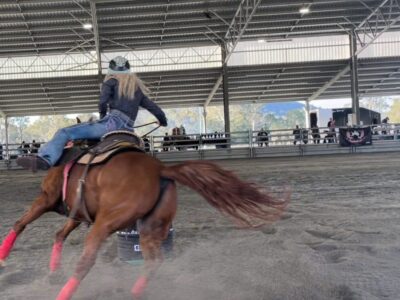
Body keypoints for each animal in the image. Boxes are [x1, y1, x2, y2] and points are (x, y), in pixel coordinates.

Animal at [0, 131, 288, 300]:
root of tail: (160, 170)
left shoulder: (46, 199)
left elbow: (20, 223)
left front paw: (3, 258)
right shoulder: (77, 213)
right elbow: (58, 234)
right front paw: (52, 272)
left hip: (106, 223)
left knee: (86, 261)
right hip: (150, 227)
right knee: (154, 261)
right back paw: (134, 292)